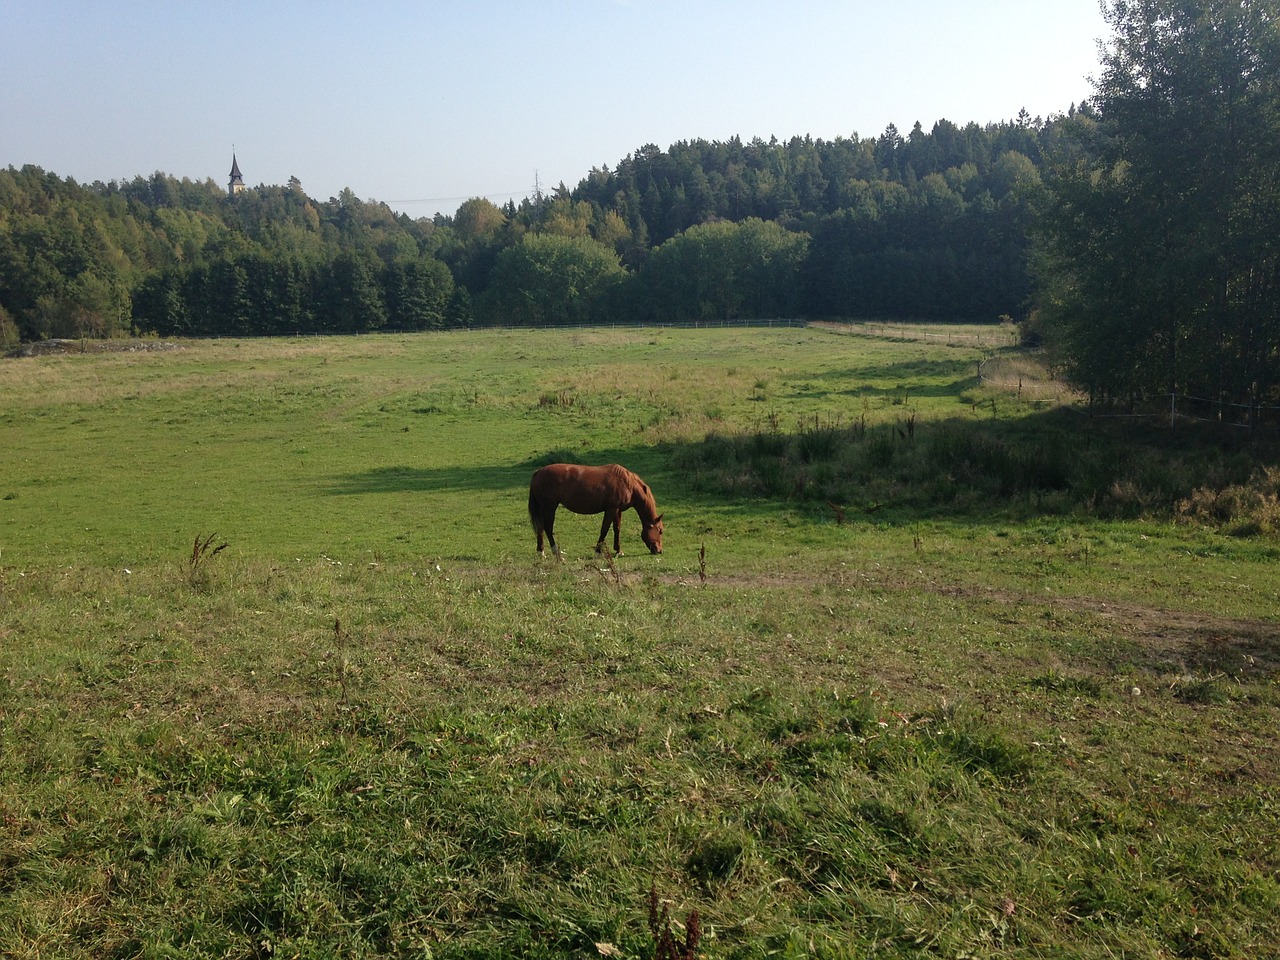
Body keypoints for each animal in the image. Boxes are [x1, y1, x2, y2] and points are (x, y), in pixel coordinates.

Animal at [532, 463, 670, 560]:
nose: (660, 551)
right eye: (660, 531)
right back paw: (556, 553)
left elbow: (617, 529)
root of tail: (539, 472)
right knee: (547, 528)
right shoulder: (611, 509)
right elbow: (604, 529)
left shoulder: (618, 510)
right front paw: (598, 551)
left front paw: (618, 550)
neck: (628, 484)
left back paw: (541, 552)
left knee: (540, 528)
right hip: (549, 507)